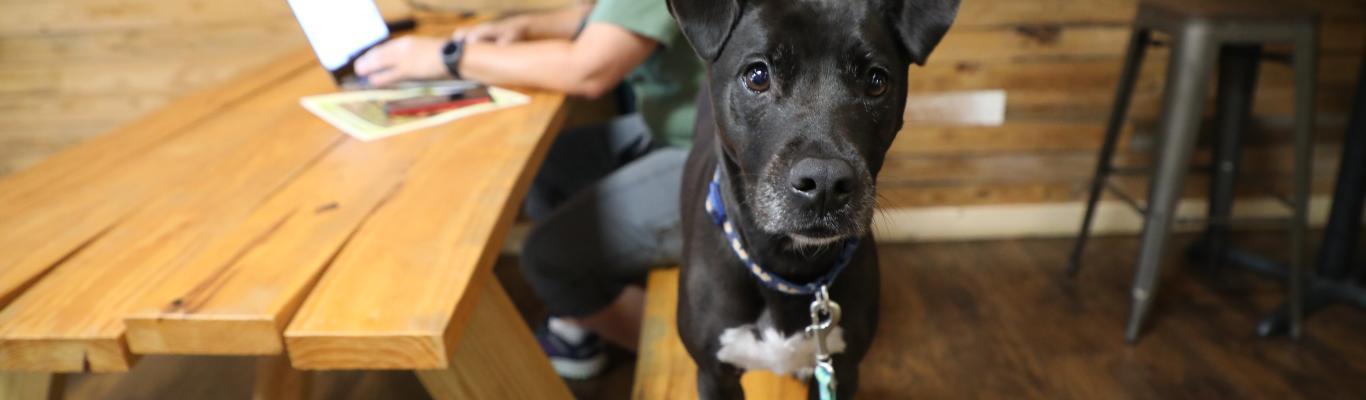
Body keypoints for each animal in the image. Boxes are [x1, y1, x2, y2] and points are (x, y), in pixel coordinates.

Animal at [672, 0, 961, 395]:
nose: (824, 183)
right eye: (757, 75)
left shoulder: (844, 369)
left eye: (876, 81)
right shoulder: (715, 376)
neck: (789, 266)